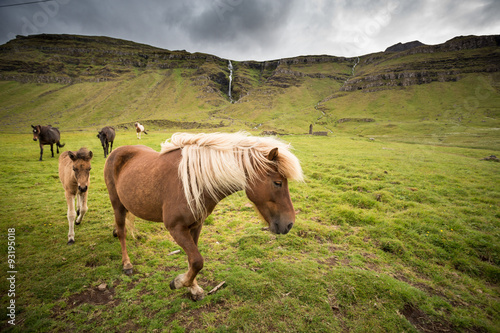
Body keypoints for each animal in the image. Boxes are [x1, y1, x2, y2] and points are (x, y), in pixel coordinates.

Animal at [103, 131, 302, 300]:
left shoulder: (196, 225)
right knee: (122, 232)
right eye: (277, 182)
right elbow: (198, 261)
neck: (194, 183)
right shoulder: (176, 228)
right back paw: (127, 264)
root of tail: (117, 152)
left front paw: (193, 288)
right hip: (117, 205)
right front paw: (178, 283)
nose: (289, 224)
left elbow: (193, 260)